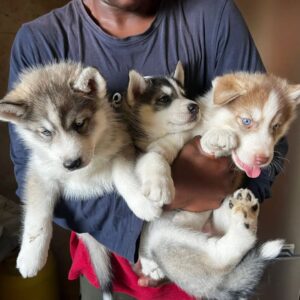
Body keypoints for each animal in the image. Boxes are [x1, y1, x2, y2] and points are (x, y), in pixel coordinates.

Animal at [0, 61, 165, 290]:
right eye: (46, 132)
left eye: (79, 124)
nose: (71, 164)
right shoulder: (40, 173)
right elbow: (38, 214)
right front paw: (31, 256)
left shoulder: (122, 146)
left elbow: (124, 179)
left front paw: (142, 204)